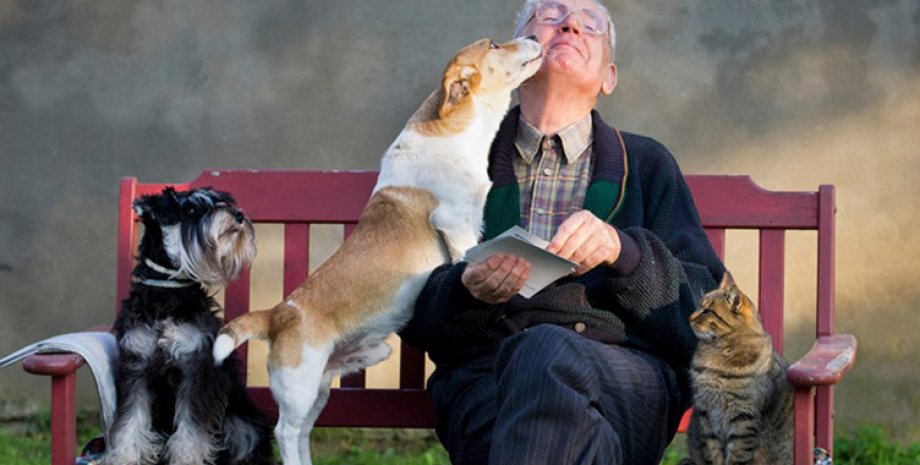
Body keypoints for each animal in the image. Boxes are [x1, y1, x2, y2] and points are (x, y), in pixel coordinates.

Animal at [214, 37, 548, 464]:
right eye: (493, 44)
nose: (535, 38)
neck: (455, 133)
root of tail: (275, 315)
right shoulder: (456, 223)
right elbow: (465, 256)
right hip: (299, 386)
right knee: (286, 431)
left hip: (323, 386)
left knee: (303, 432)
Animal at [688, 272, 796, 464]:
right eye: (699, 306)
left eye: (707, 311)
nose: (690, 317)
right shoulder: (706, 414)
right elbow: (713, 453)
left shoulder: (743, 419)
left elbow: (736, 457)